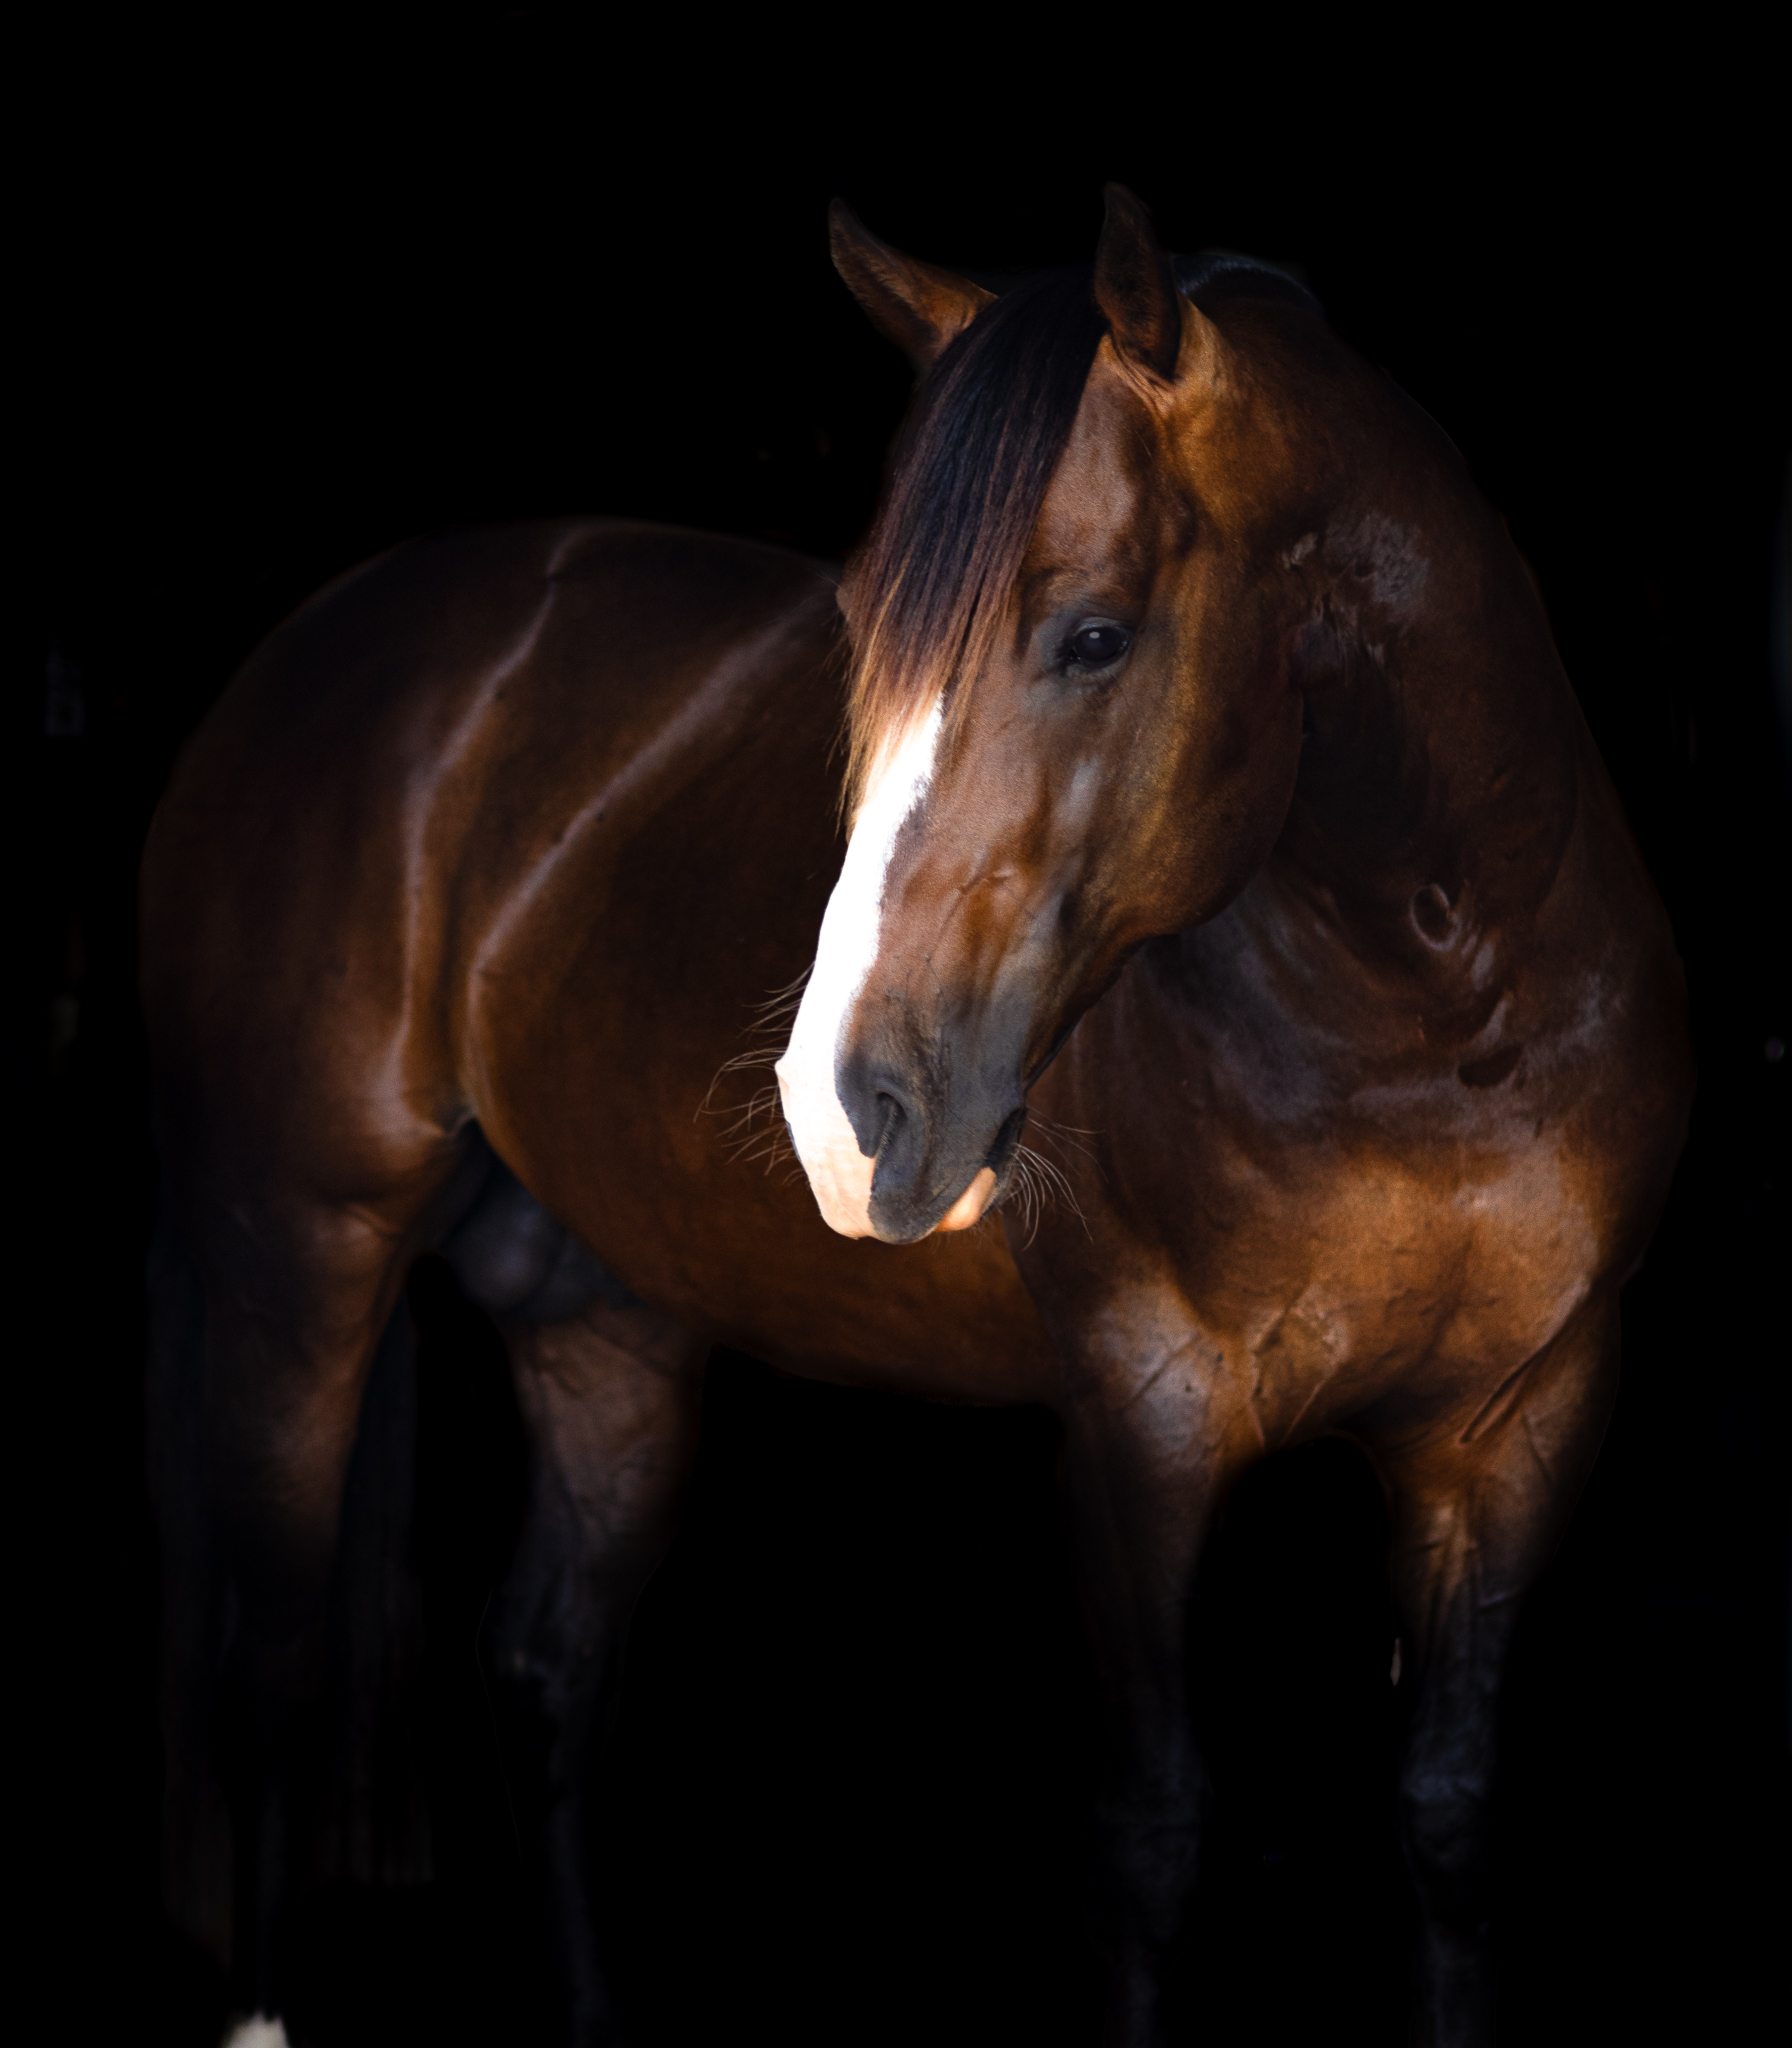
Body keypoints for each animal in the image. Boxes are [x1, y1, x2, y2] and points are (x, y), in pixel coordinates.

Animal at [141, 186, 1692, 2047]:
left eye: (1093, 633)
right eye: (865, 636)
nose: (842, 1111)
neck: (1431, 1022)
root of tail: (333, 638)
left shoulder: (1518, 1429)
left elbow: (1447, 1825)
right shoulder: (1141, 1429)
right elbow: (1153, 1838)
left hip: (608, 1326)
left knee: (546, 1672)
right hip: (295, 1257)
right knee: (272, 1672)